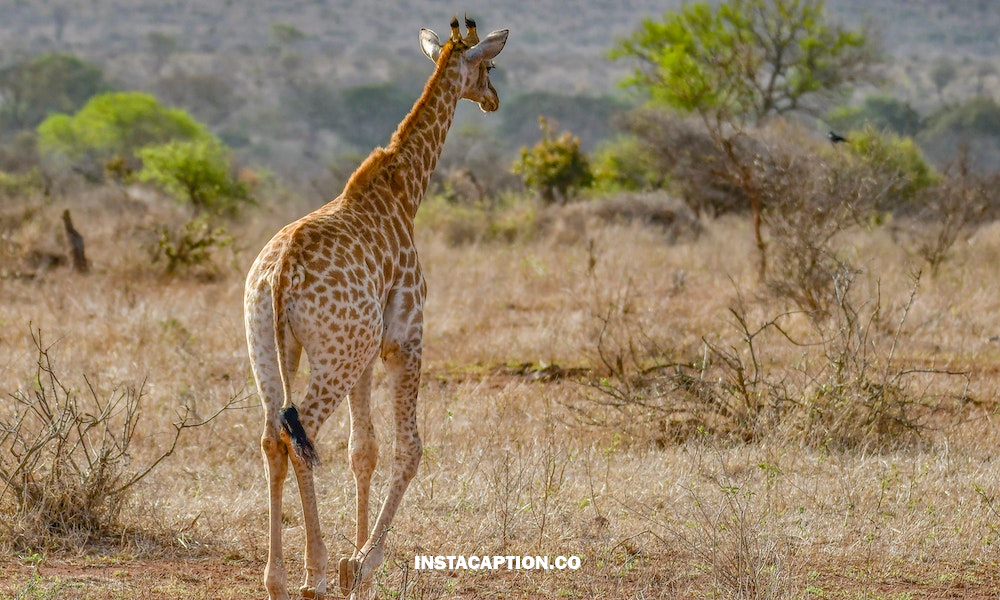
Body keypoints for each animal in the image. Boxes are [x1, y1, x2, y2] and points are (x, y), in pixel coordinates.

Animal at [244, 16, 508, 600]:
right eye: (489, 66)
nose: (493, 99)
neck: (406, 190)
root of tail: (279, 274)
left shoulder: (365, 353)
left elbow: (362, 450)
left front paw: (355, 561)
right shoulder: (404, 337)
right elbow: (410, 449)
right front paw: (363, 563)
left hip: (270, 349)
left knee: (274, 436)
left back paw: (277, 578)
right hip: (332, 356)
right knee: (300, 435)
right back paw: (313, 572)